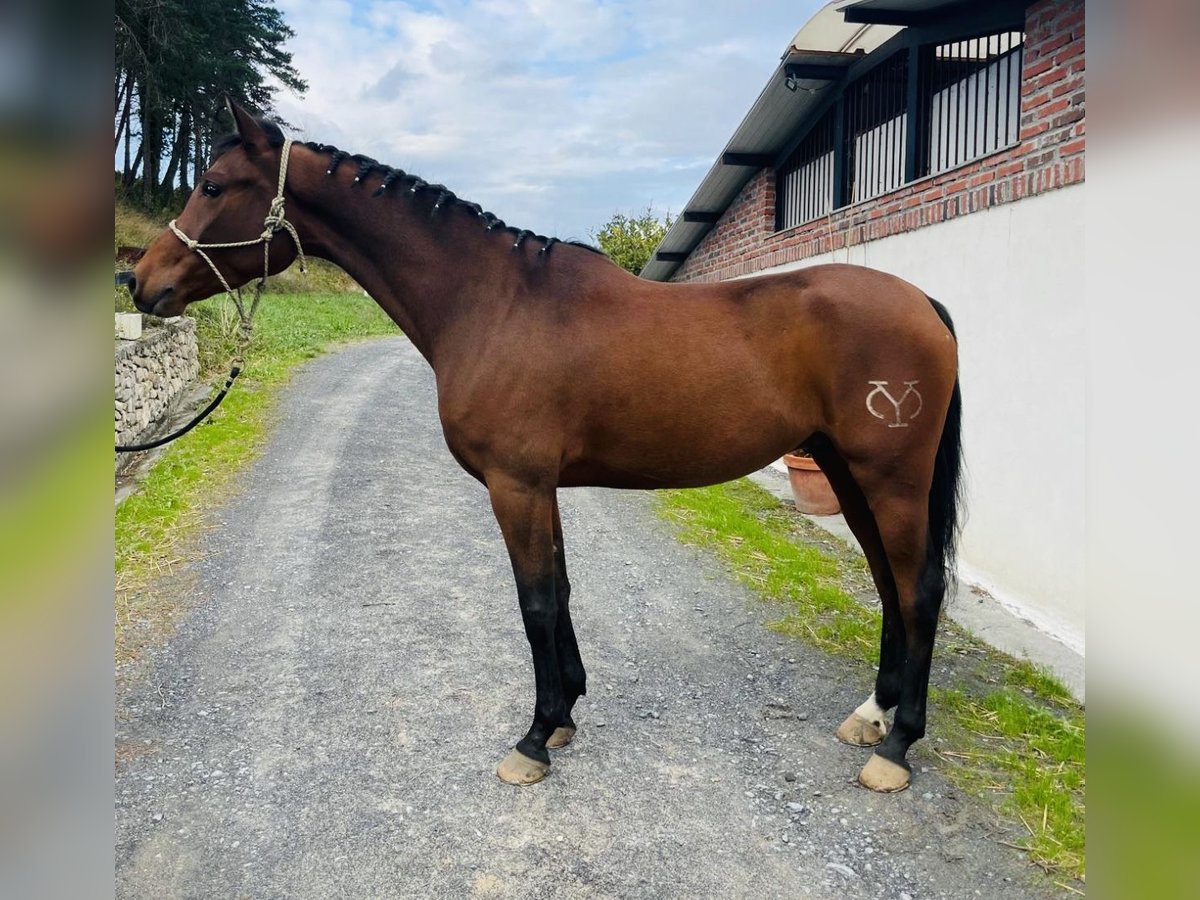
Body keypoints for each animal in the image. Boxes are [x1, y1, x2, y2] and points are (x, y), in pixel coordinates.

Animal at [126, 100, 960, 796]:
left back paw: (897, 750)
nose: (139, 282)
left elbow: (534, 602)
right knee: (889, 585)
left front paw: (531, 739)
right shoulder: (540, 487)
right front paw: (562, 717)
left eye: (212, 184)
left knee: (917, 590)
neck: (492, 302)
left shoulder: (516, 484)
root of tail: (923, 301)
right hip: (849, 474)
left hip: (890, 478)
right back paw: (873, 716)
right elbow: (558, 592)